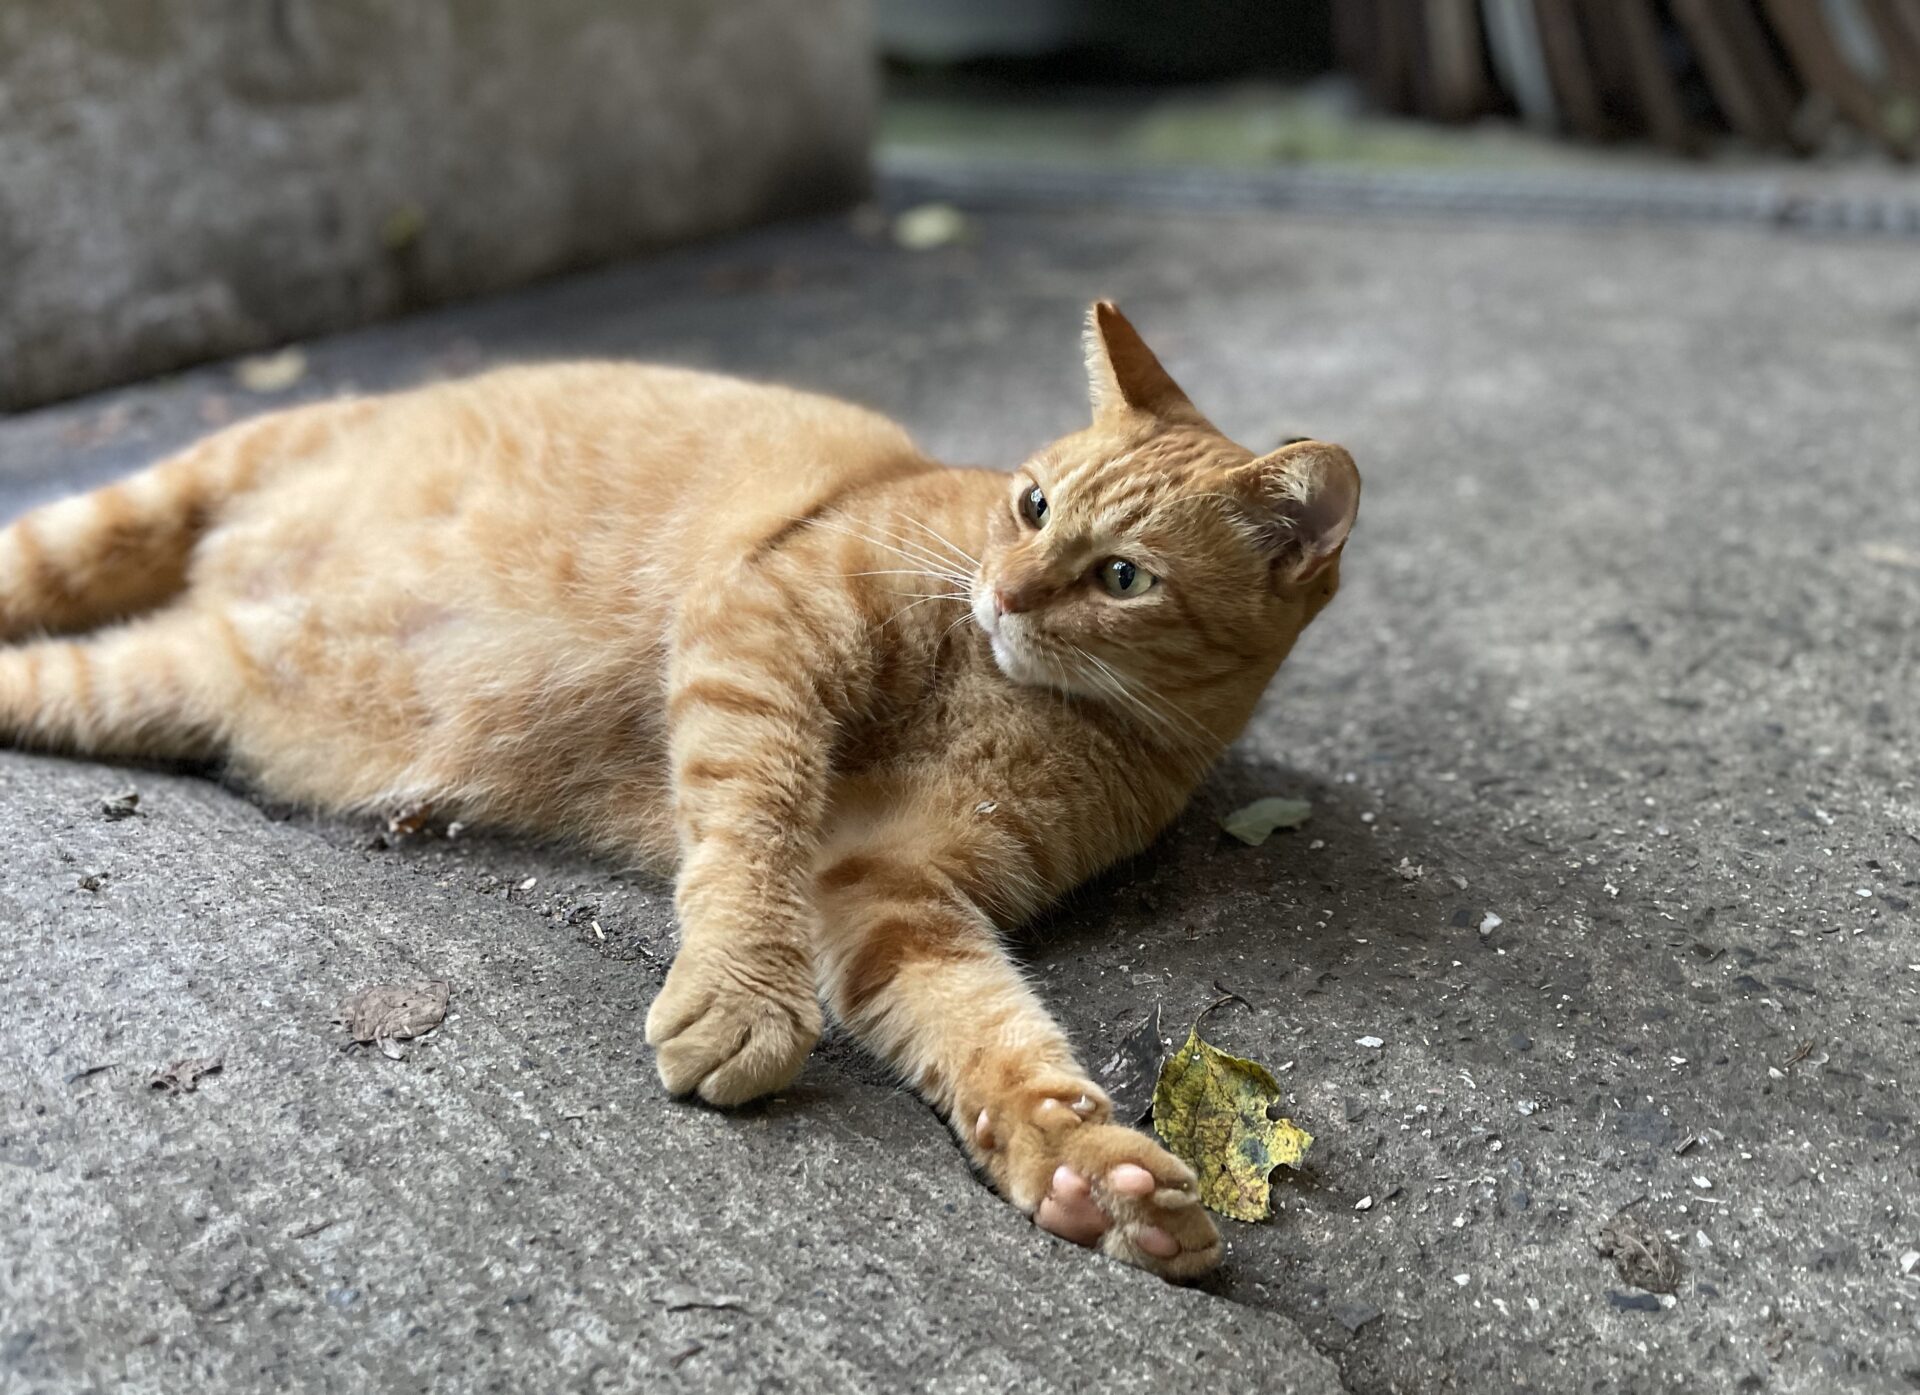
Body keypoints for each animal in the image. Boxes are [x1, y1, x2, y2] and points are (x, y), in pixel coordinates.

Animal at [0, 303, 1359, 1274]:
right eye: (1029, 505)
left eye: (1122, 577)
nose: (1008, 592)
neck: (1021, 701)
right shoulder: (769, 633)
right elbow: (749, 826)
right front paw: (740, 996)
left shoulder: (887, 890)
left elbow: (989, 1032)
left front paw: (1084, 1169)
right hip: (146, 515)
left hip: (149, 681)